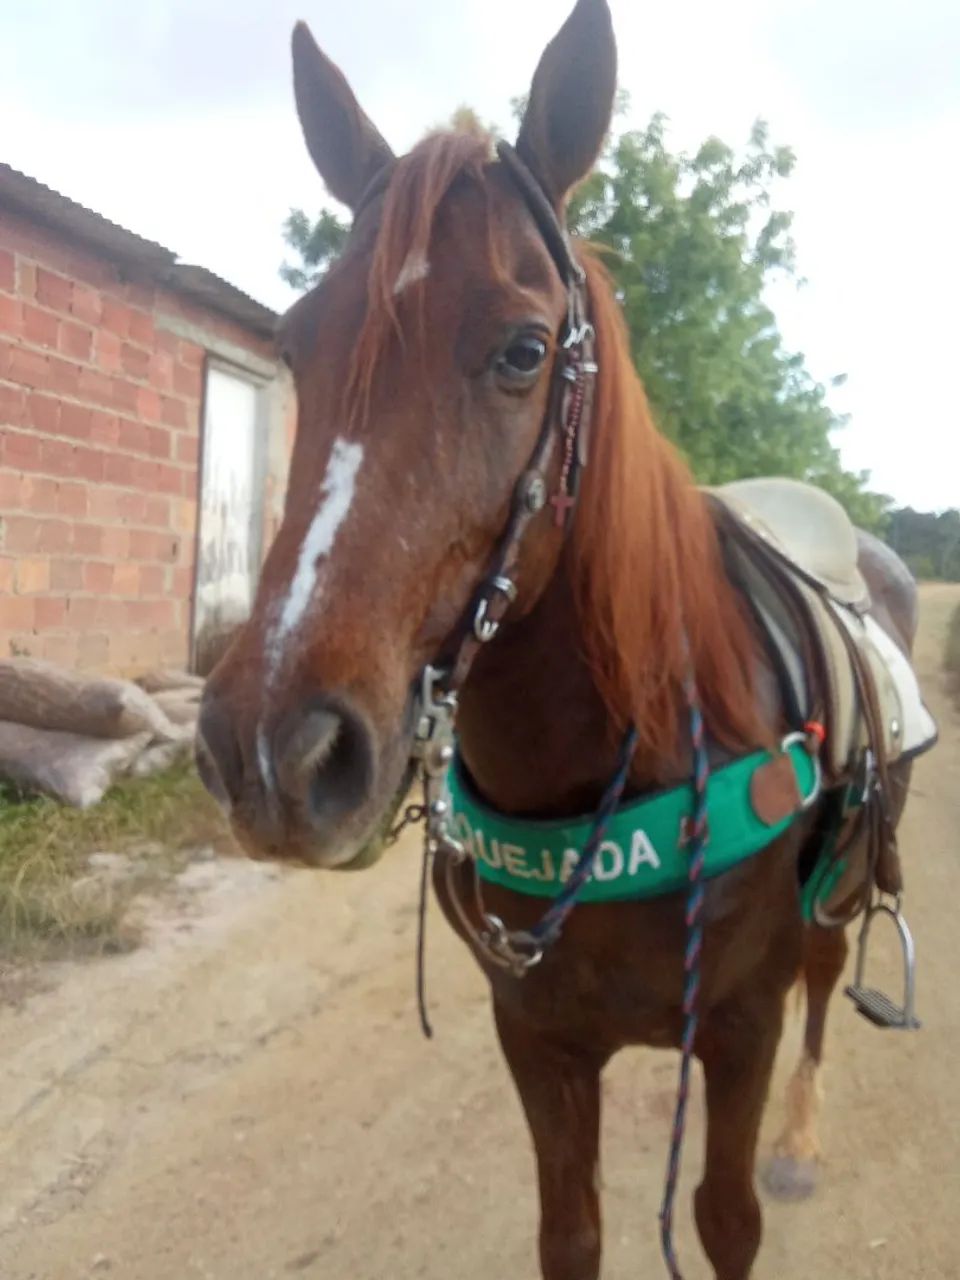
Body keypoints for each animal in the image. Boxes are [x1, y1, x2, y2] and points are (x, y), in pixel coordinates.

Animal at [196, 2, 924, 1276]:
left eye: (525, 350)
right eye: (294, 343)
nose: (272, 751)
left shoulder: (738, 1027)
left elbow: (726, 1219)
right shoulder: (535, 1036)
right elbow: (570, 1231)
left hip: (838, 901)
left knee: (831, 982)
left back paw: (802, 1139)